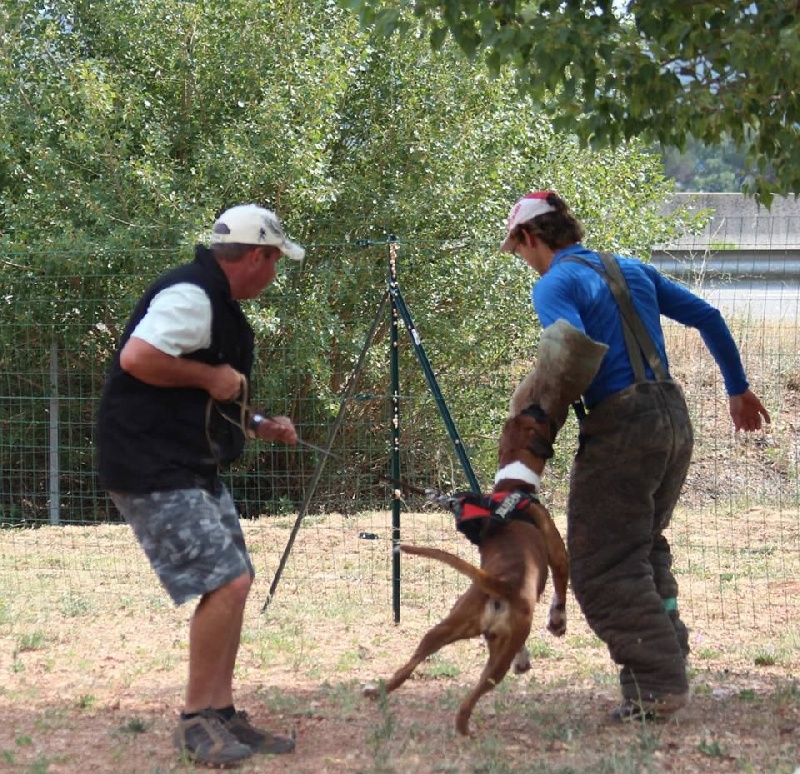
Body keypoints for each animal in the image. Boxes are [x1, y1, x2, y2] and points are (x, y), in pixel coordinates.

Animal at [362, 406, 568, 740]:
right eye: (539, 420)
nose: (535, 407)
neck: (511, 488)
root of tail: (500, 585)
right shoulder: (558, 553)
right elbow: (562, 585)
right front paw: (558, 622)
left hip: (442, 630)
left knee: (408, 668)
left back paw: (376, 691)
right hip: (496, 661)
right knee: (472, 697)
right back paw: (465, 729)